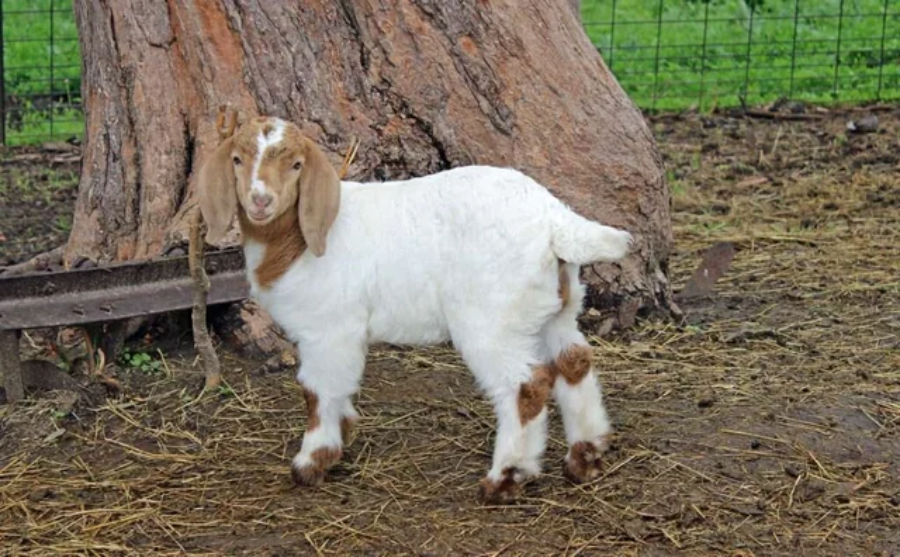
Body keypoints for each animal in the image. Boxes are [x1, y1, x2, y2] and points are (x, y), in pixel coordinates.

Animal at [197, 116, 634, 503]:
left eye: (297, 165)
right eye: (237, 159)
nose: (260, 200)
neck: (299, 240)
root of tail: (553, 220)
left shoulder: (330, 329)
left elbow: (316, 389)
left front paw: (312, 461)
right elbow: (338, 387)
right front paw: (344, 432)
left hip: (491, 320)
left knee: (524, 386)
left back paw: (505, 477)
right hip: (554, 308)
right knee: (574, 363)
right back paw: (586, 455)